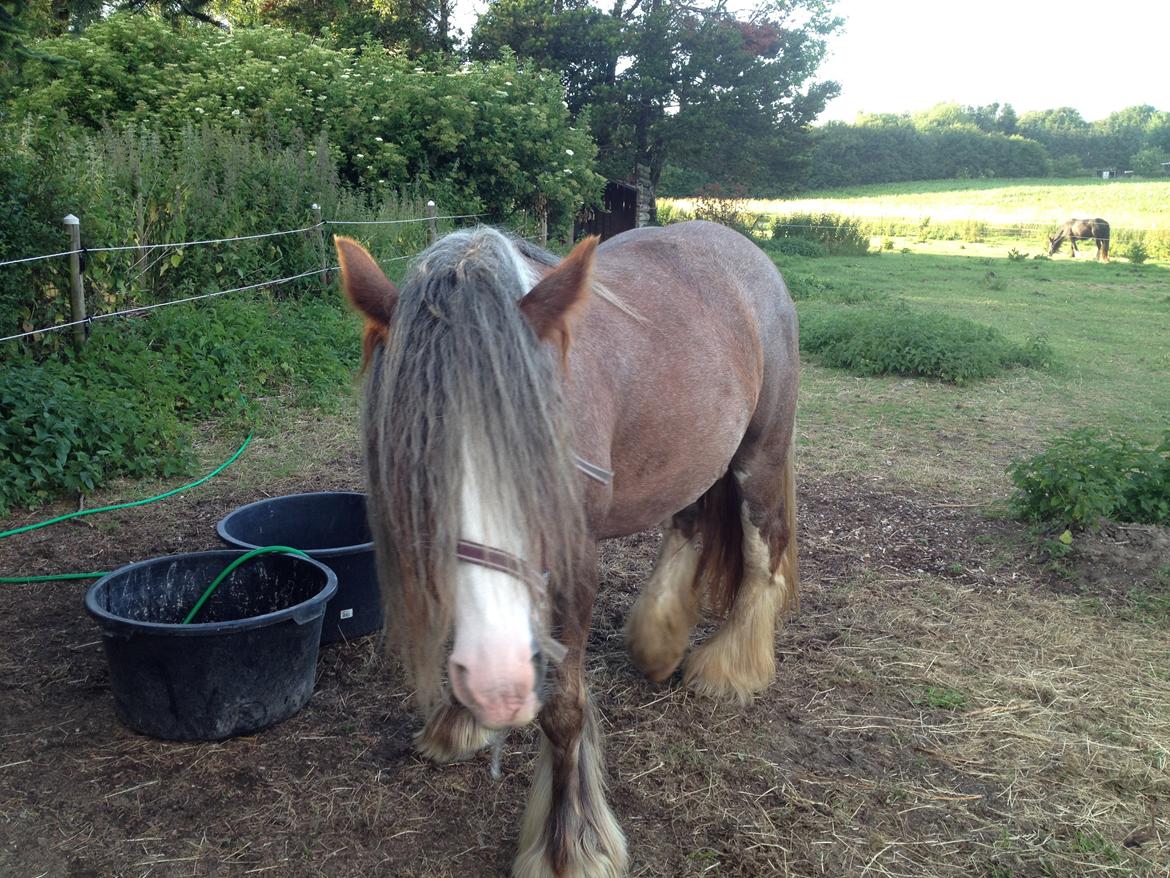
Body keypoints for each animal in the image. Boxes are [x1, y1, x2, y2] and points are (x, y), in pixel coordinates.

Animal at [334, 221, 800, 878]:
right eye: (411, 462)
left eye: (538, 461)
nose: (497, 686)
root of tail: (742, 248)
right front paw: (460, 721)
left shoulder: (573, 563)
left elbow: (563, 710)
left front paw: (570, 845)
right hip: (689, 459)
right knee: (686, 526)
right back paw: (658, 642)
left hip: (759, 455)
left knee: (764, 553)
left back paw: (730, 669)